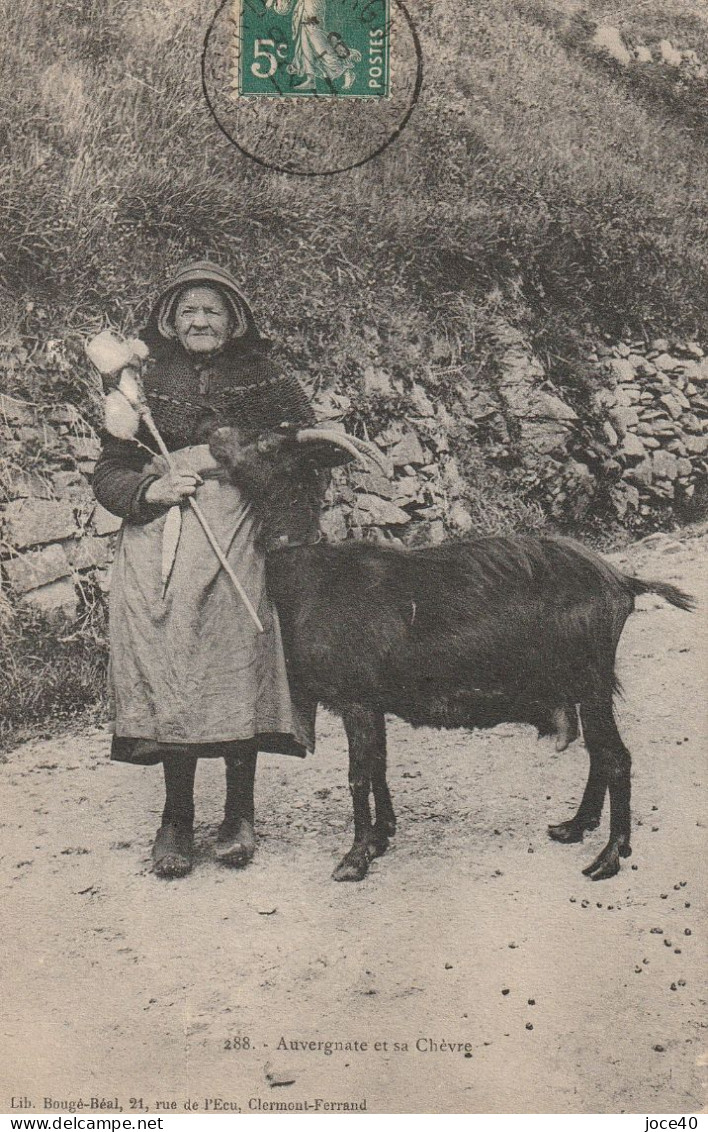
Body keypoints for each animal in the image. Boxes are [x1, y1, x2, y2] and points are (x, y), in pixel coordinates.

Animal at [208, 425, 688, 882]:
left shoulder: (357, 700)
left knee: (616, 758)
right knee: (598, 755)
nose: (215, 436)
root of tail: (622, 581)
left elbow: (359, 775)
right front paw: (382, 837)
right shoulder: (375, 704)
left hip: (591, 679)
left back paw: (609, 856)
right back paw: (573, 827)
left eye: (268, 445)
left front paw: (354, 858)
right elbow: (380, 766)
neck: (314, 576)